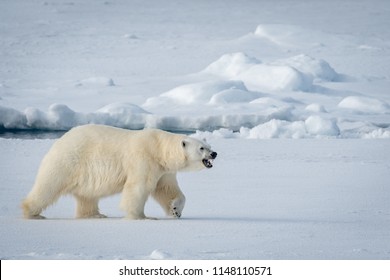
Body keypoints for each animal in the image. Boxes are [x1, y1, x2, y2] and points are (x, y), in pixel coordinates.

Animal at [22, 124, 216, 219]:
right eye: (201, 148)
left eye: (209, 145)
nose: (214, 153)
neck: (159, 149)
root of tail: (60, 140)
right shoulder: (144, 159)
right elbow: (138, 187)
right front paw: (141, 217)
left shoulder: (163, 170)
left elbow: (166, 189)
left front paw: (175, 210)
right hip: (68, 161)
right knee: (48, 186)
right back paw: (31, 213)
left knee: (87, 195)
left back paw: (95, 215)